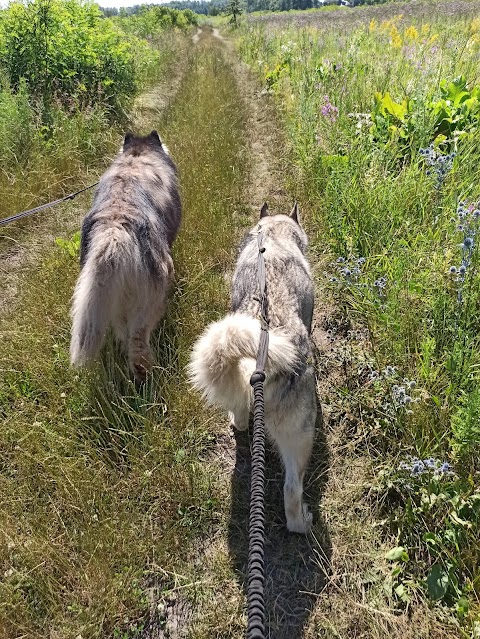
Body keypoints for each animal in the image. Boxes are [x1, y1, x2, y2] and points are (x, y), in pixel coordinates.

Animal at [71, 130, 182, 380]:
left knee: (124, 333)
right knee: (138, 339)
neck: (136, 156)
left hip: (117, 297)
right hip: (149, 295)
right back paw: (145, 374)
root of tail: (114, 234)